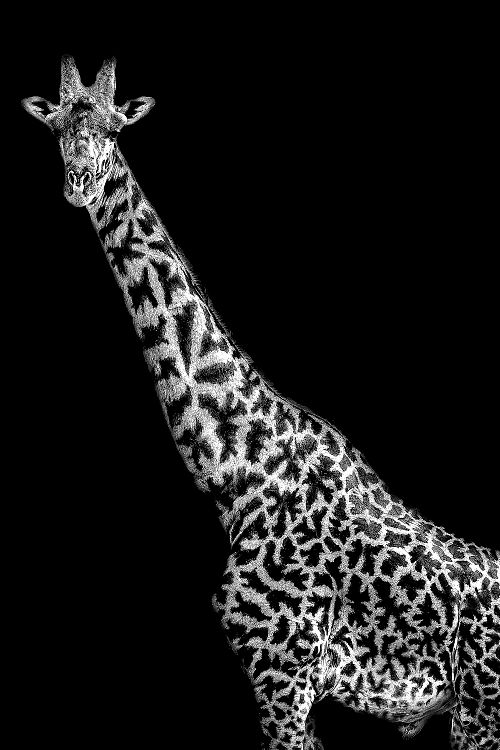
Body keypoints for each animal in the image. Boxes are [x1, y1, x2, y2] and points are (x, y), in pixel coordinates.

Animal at [22, 57, 500, 750]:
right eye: (58, 128)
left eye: (113, 129)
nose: (79, 185)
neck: (239, 468)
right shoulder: (281, 682)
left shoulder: (283, 673)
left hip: (480, 705)